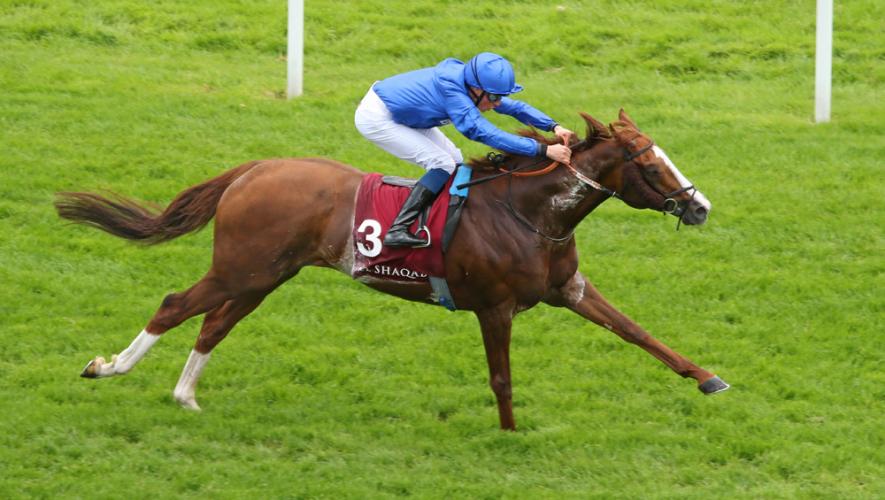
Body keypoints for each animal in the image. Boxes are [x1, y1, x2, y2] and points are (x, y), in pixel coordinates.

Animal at [55, 109, 729, 431]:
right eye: (652, 166)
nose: (699, 207)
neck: (532, 211)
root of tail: (255, 168)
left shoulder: (568, 288)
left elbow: (641, 333)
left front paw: (708, 379)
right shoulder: (495, 307)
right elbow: (502, 378)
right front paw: (510, 436)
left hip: (265, 275)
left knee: (213, 324)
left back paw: (185, 395)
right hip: (240, 270)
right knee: (175, 304)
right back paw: (108, 368)